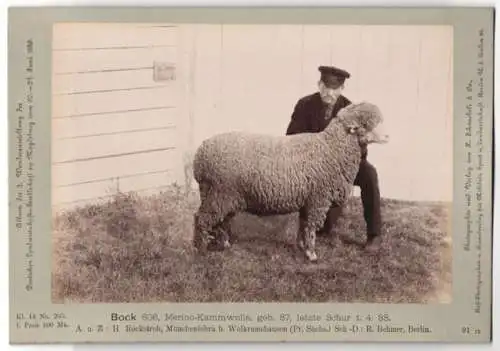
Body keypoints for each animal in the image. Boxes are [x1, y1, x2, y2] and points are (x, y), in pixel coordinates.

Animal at [191, 100, 390, 262]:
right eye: (367, 125)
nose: (388, 136)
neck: (331, 148)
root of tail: (200, 155)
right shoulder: (318, 199)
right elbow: (311, 226)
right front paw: (311, 254)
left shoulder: (308, 200)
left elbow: (303, 225)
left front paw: (302, 247)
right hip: (220, 192)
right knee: (201, 218)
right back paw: (200, 249)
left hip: (222, 195)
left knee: (221, 221)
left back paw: (224, 244)